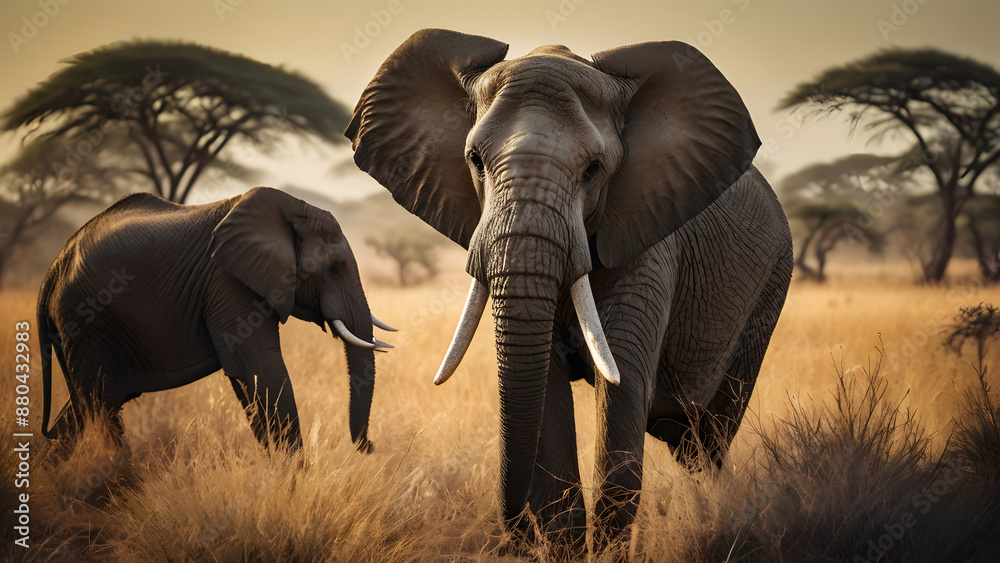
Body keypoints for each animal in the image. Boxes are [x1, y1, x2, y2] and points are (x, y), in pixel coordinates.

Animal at [38, 187, 395, 454]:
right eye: (333, 269)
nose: (370, 446)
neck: (292, 208)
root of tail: (52, 270)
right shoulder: (227, 281)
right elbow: (263, 370)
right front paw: (296, 486)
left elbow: (249, 382)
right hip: (84, 320)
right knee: (100, 406)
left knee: (83, 409)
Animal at [346, 29, 793, 555]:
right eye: (475, 161)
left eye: (594, 169)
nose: (513, 538)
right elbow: (547, 395)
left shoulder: (647, 239)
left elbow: (621, 386)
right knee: (687, 442)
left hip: (771, 284)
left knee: (710, 439)